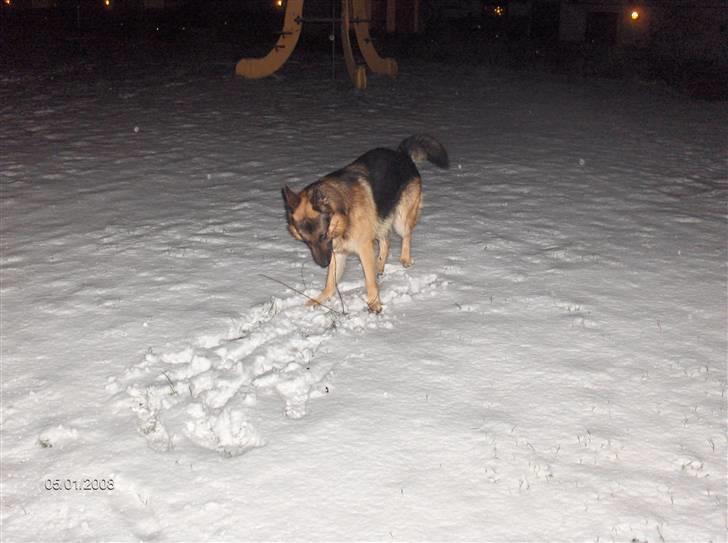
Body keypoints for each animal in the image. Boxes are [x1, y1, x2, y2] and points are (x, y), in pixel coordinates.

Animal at [280, 135, 446, 314]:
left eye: (323, 235)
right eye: (306, 241)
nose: (323, 264)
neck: (343, 216)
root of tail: (401, 154)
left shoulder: (363, 248)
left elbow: (370, 281)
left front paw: (374, 304)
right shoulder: (337, 253)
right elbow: (330, 283)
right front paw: (319, 300)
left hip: (400, 221)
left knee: (406, 235)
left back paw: (405, 259)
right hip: (380, 220)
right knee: (386, 242)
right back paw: (379, 265)